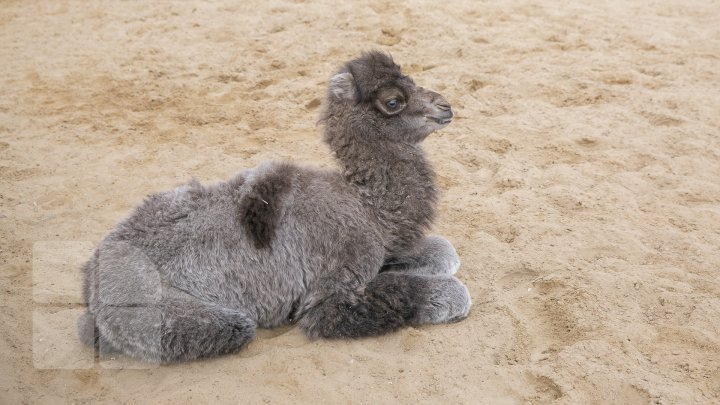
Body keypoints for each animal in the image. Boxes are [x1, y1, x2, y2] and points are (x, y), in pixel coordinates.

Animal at [79, 51, 470, 362]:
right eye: (392, 101)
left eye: (412, 80)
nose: (446, 107)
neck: (369, 208)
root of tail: (95, 269)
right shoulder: (330, 293)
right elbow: (433, 291)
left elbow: (442, 251)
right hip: (170, 311)